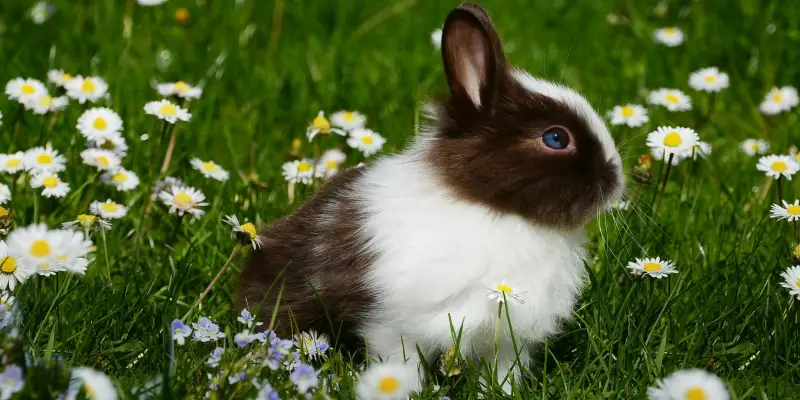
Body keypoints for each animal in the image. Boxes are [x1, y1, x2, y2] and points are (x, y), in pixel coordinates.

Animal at [238, 1, 624, 393]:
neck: (493, 209)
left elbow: (501, 373)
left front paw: (499, 392)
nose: (617, 179)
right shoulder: (394, 326)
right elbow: (399, 364)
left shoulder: (505, 339)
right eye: (556, 138)